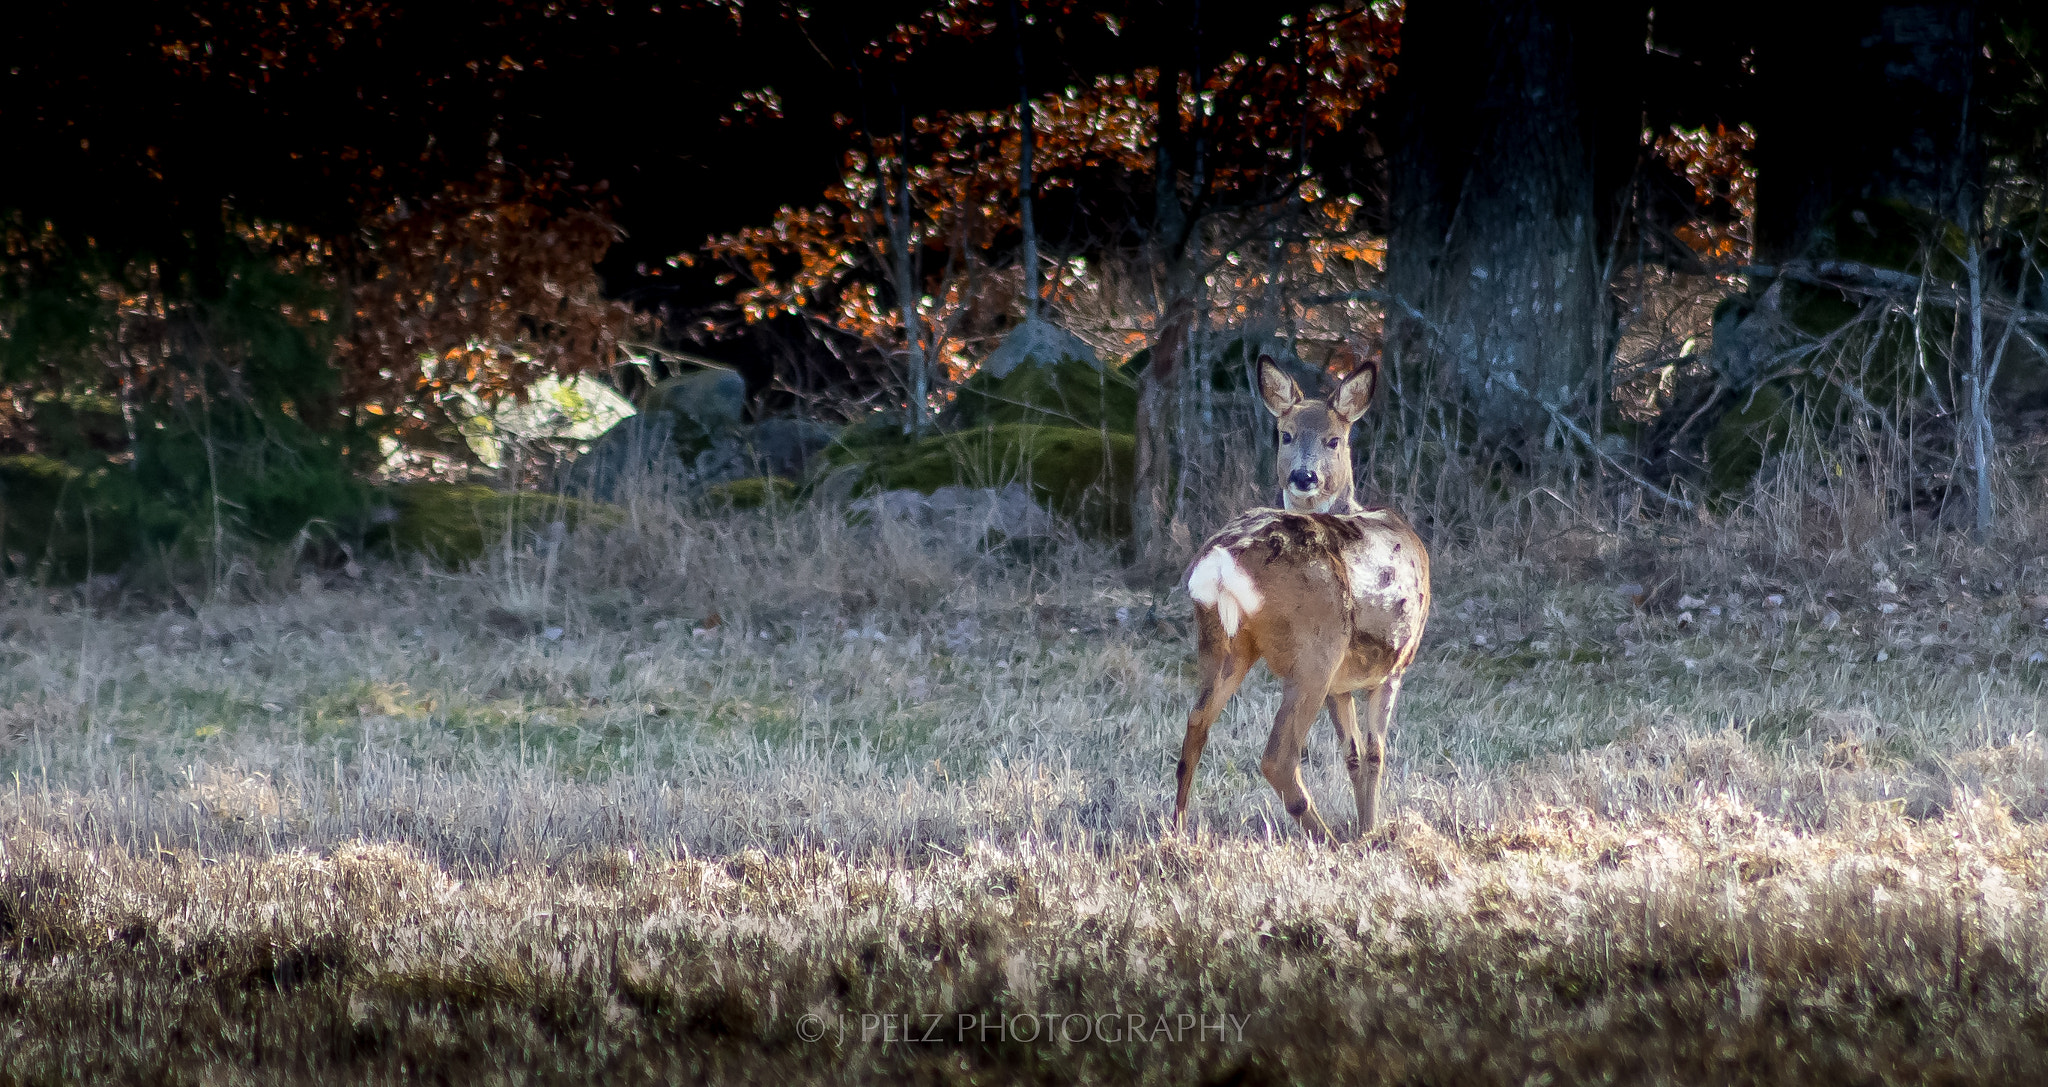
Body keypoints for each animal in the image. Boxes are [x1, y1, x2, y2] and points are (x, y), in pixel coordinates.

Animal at [1179, 348, 1433, 843]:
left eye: (1334, 439)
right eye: (1286, 434)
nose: (1303, 475)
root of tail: (1221, 560)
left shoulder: (1342, 684)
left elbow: (1352, 754)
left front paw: (1365, 826)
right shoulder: (1393, 667)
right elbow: (1376, 753)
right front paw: (1370, 832)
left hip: (1221, 642)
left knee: (1194, 726)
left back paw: (1174, 829)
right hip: (1316, 645)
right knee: (1278, 755)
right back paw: (1327, 839)